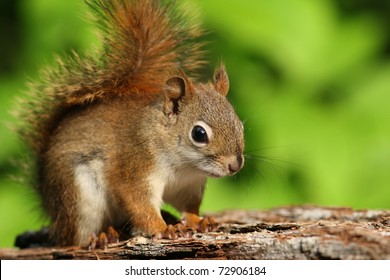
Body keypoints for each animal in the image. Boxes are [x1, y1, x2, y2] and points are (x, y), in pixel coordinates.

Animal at [19, 0, 244, 245]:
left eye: (240, 125)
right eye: (199, 134)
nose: (235, 165)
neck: (184, 166)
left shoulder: (188, 186)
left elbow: (189, 206)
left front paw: (198, 221)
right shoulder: (135, 166)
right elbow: (138, 203)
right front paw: (163, 229)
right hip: (78, 197)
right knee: (77, 237)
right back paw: (102, 235)